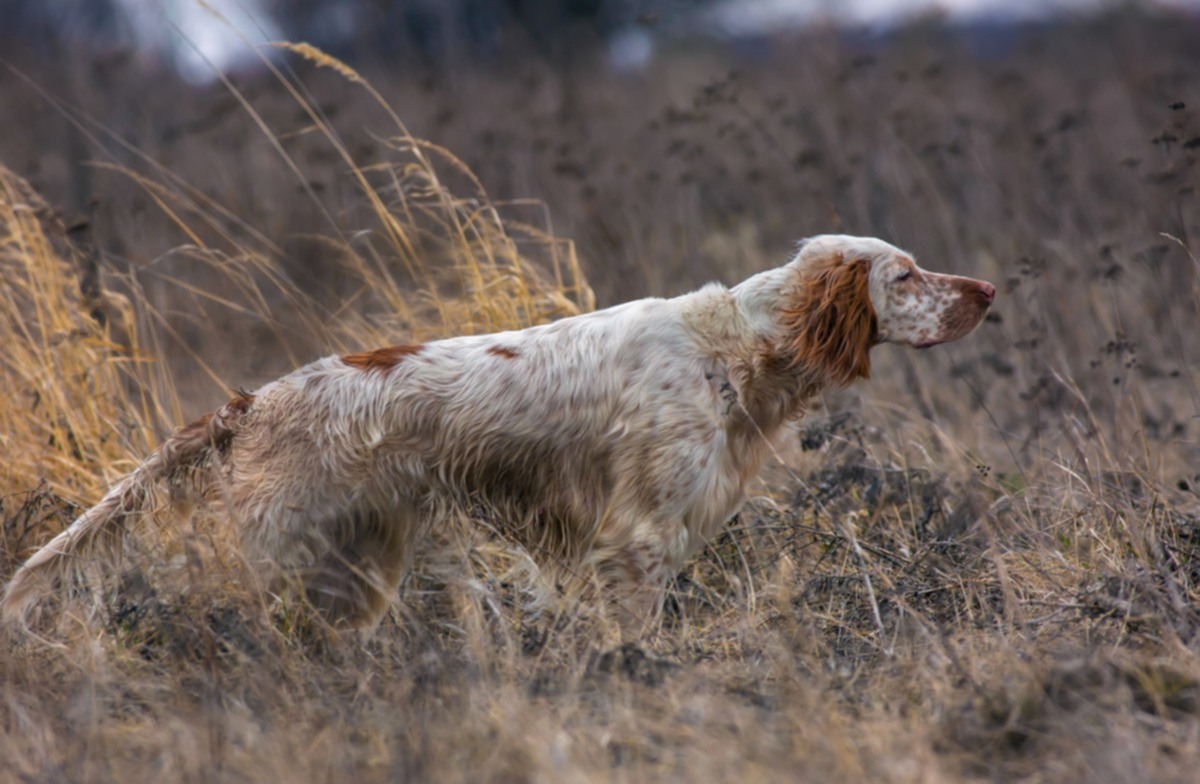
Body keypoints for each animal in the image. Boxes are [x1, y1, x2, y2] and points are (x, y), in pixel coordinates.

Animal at [2, 234, 993, 633]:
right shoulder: (635, 544)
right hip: (302, 563)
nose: (986, 292)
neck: (737, 348)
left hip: (359, 569)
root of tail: (252, 402)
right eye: (906, 275)